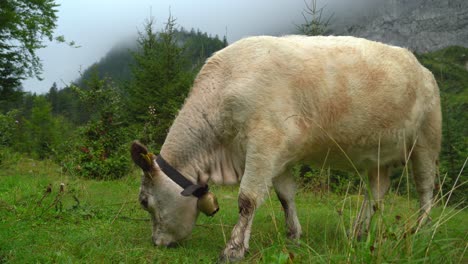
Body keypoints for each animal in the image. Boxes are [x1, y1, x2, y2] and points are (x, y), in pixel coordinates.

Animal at [130, 35, 440, 262]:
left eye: (144, 202)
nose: (157, 242)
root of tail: (421, 66)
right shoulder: (279, 155)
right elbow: (285, 196)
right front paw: (293, 236)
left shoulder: (264, 142)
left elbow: (247, 199)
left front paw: (233, 249)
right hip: (376, 155)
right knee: (376, 192)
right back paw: (359, 232)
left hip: (427, 140)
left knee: (426, 190)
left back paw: (419, 230)